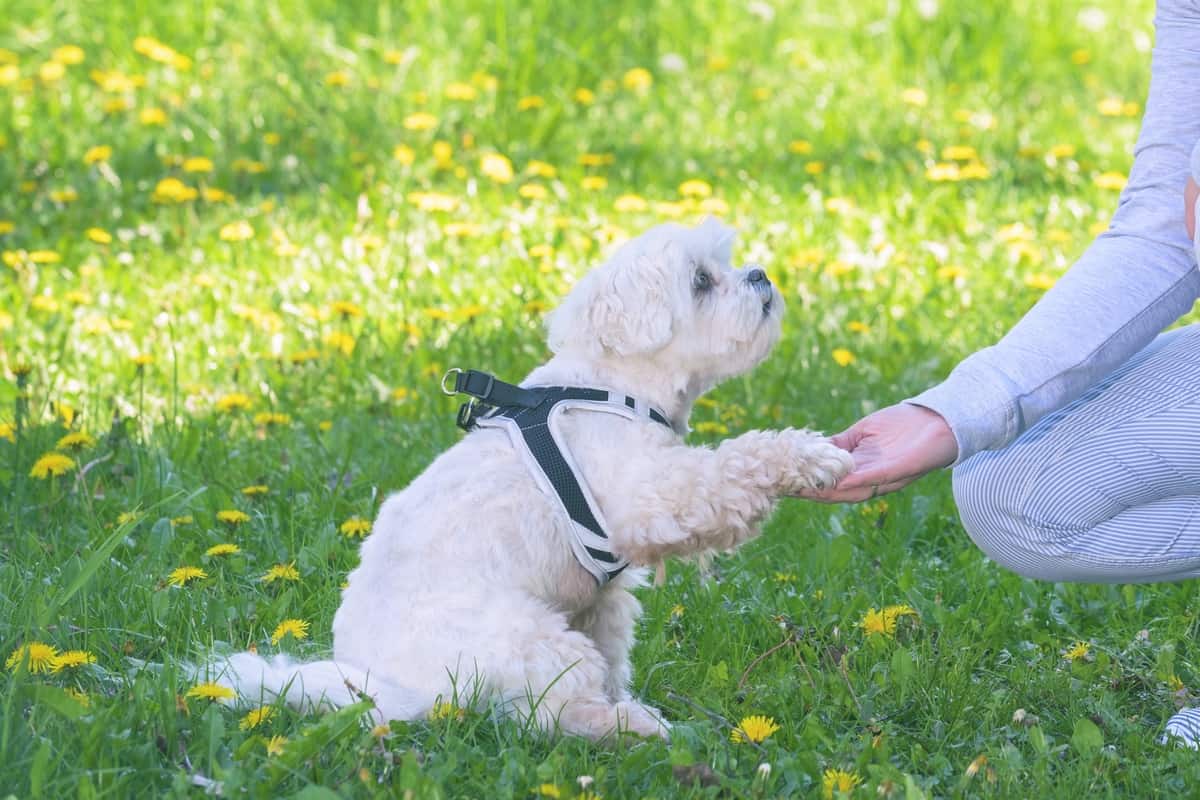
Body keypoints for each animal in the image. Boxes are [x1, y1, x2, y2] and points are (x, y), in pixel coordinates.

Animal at [216, 217, 854, 738]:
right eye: (701, 281)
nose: (760, 275)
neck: (612, 384)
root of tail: (386, 689)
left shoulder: (600, 603)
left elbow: (615, 656)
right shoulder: (646, 498)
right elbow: (733, 463)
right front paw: (811, 456)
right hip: (533, 640)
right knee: (543, 715)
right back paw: (629, 727)